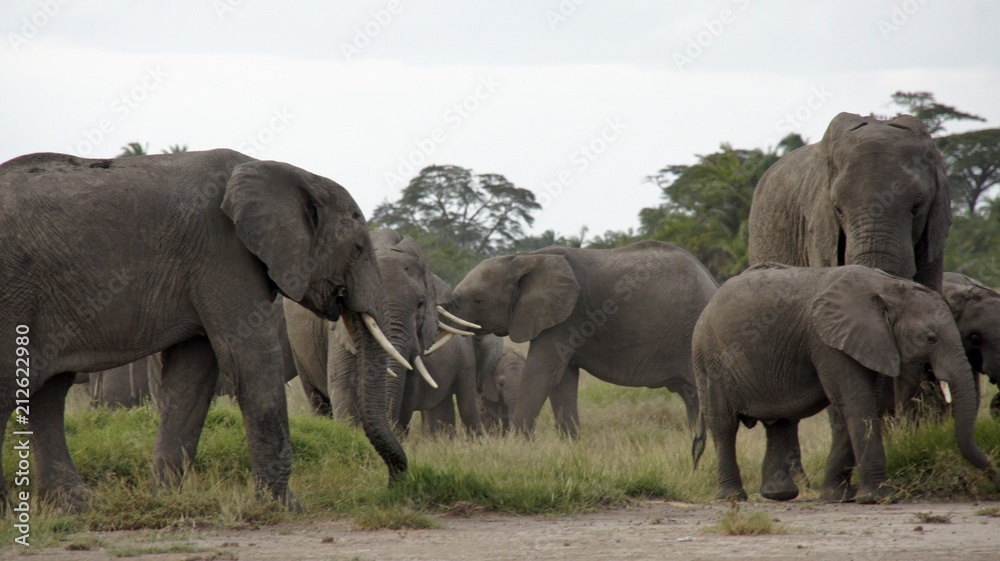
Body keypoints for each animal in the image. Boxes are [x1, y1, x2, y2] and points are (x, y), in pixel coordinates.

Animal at [0, 149, 408, 512]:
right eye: (358, 248)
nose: (393, 485)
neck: (289, 173)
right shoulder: (223, 254)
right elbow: (251, 359)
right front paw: (288, 508)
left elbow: (191, 377)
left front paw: (165, 500)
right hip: (14, 293)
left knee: (48, 393)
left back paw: (79, 507)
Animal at [444, 240, 717, 438]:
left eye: (478, 300)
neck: (523, 257)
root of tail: (712, 281)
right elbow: (562, 379)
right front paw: (571, 445)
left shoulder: (567, 317)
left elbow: (540, 372)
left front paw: (516, 447)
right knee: (690, 394)